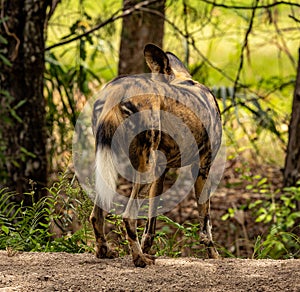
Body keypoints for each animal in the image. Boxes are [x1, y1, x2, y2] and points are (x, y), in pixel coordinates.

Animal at [90, 43, 221, 266]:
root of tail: (119, 88)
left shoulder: (160, 173)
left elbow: (150, 228)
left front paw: (147, 248)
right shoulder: (203, 168)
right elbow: (206, 225)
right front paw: (215, 257)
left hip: (122, 165)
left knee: (96, 214)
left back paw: (104, 251)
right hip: (145, 171)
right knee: (128, 216)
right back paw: (139, 259)